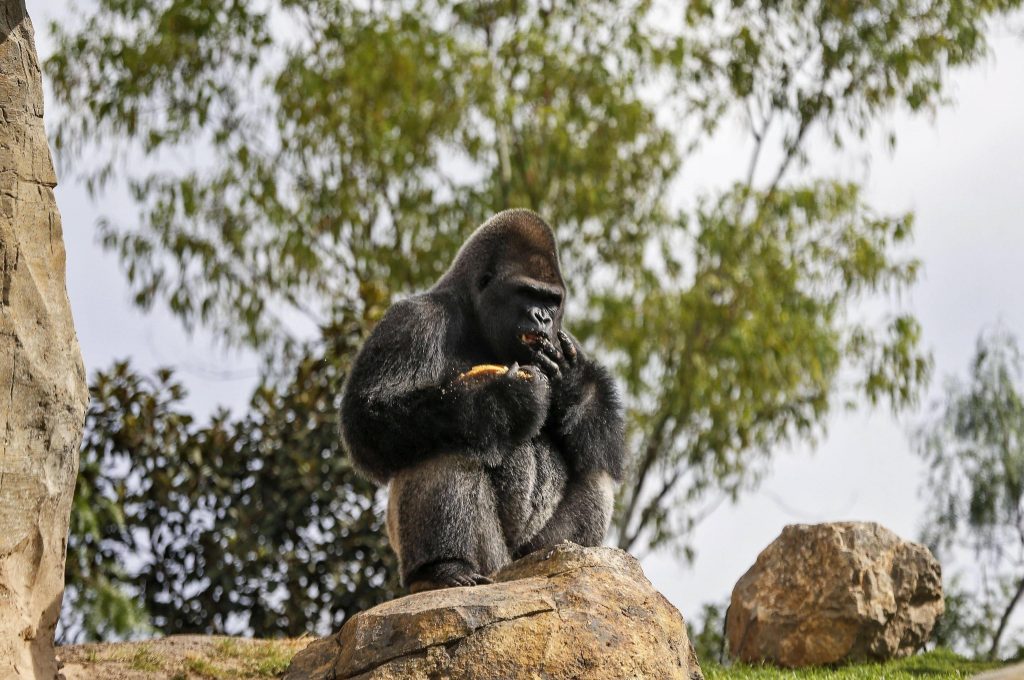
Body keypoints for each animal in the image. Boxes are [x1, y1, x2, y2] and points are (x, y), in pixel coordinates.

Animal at [339, 209, 622, 593]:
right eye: (526, 292)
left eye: (551, 300)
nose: (543, 317)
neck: (475, 316)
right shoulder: (413, 320)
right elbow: (368, 420)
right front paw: (502, 401)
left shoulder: (566, 340)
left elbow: (605, 440)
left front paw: (572, 382)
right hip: (490, 564)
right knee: (447, 442)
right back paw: (443, 568)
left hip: (521, 559)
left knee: (595, 463)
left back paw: (565, 560)